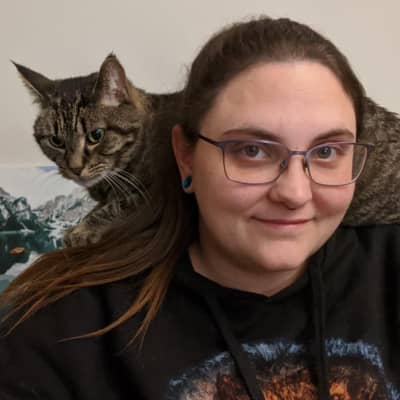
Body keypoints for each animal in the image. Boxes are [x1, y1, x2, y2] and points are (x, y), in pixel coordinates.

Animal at [14, 54, 181, 247]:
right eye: (56, 141)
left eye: (96, 135)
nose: (75, 168)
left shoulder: (154, 191)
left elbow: (118, 205)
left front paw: (83, 229)